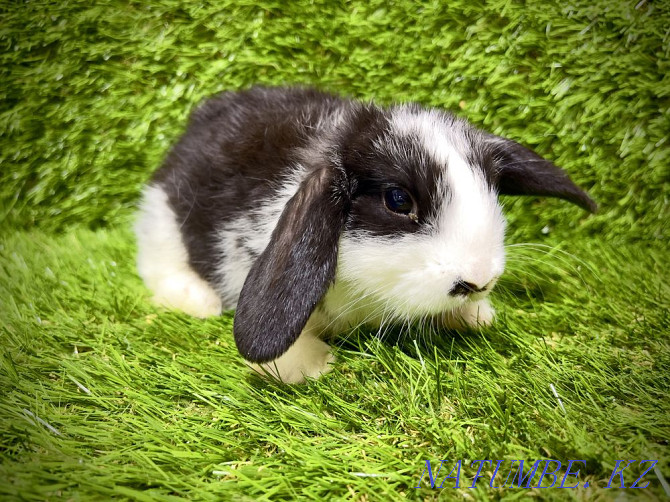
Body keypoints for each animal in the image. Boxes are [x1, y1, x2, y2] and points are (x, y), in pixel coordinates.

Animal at [136, 87, 600, 384]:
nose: (479, 280)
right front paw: (310, 366)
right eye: (397, 199)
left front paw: (476, 315)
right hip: (161, 219)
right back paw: (197, 300)